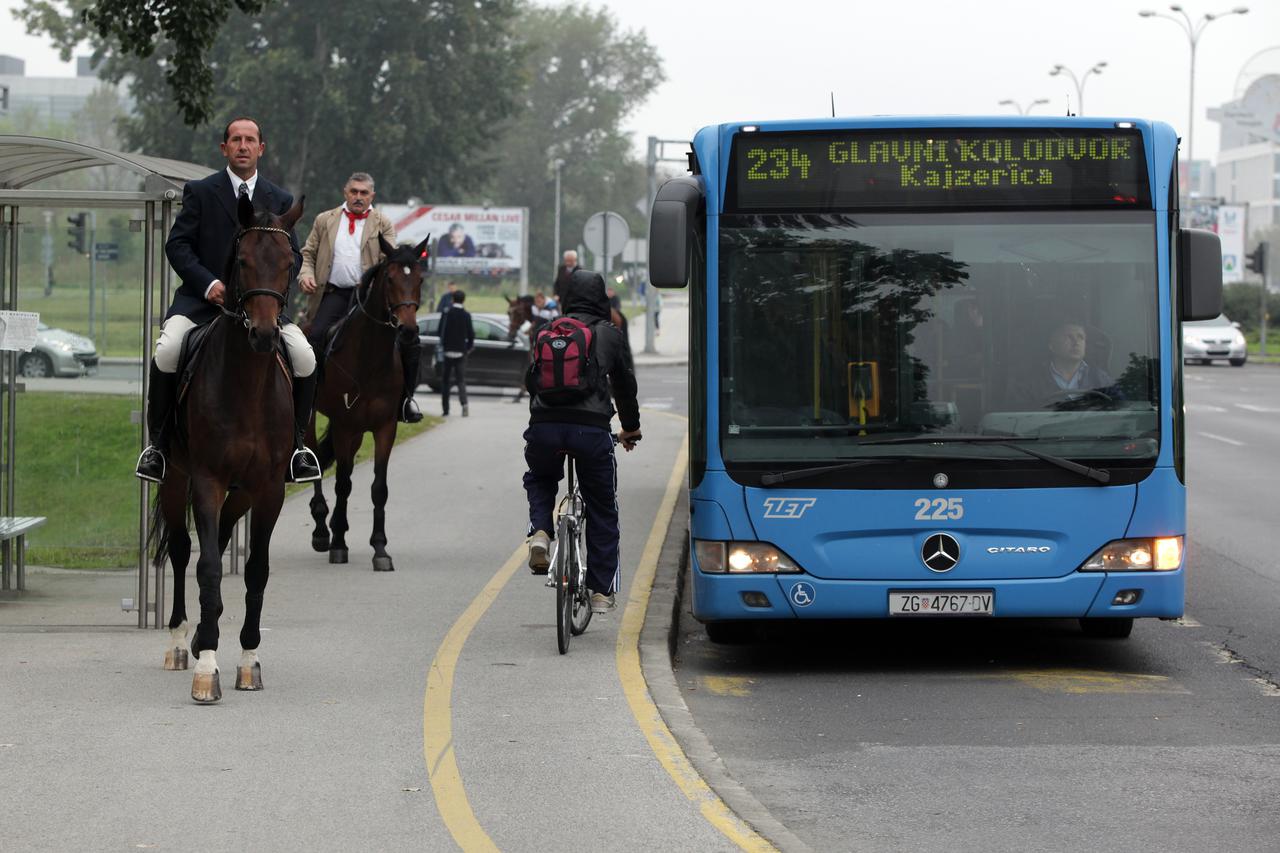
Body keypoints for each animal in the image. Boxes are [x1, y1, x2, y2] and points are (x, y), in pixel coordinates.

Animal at [151, 189, 303, 701]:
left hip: (240, 495)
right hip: (176, 479)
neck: (246, 384)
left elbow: (255, 569)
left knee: (215, 539)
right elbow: (209, 569)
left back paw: (201, 633)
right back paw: (182, 642)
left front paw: (248, 661)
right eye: (242, 260)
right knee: (183, 551)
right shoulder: (206, 480)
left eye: (291, 262)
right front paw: (207, 669)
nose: (265, 334)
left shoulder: (268, 488)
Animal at [307, 230, 432, 571]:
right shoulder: (344, 425)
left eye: (420, 278)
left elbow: (379, 488)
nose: (408, 330)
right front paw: (338, 544)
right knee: (318, 466)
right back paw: (323, 530)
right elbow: (342, 483)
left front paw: (380, 548)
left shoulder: (384, 427)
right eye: (389, 278)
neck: (369, 356)